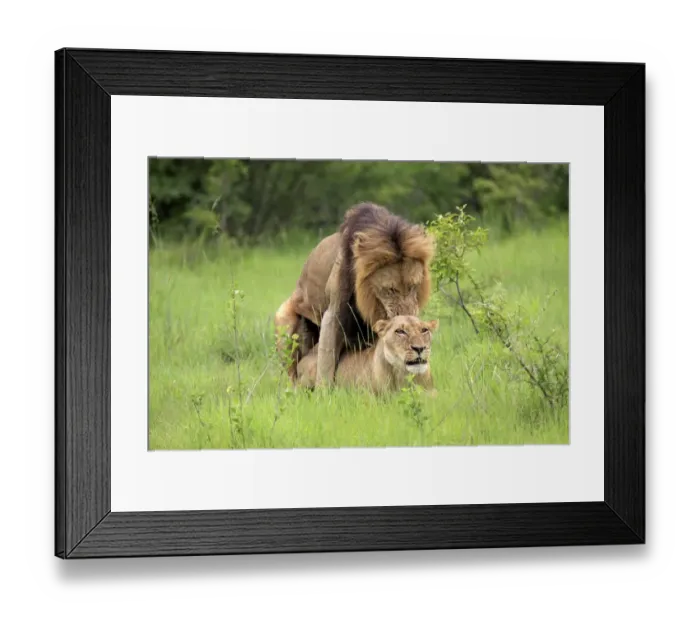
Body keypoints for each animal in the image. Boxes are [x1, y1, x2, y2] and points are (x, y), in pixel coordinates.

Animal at [274, 202, 435, 386]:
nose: (406, 316)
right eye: (390, 289)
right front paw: (324, 392)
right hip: (284, 322)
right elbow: (326, 362)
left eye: (413, 286)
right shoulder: (334, 312)